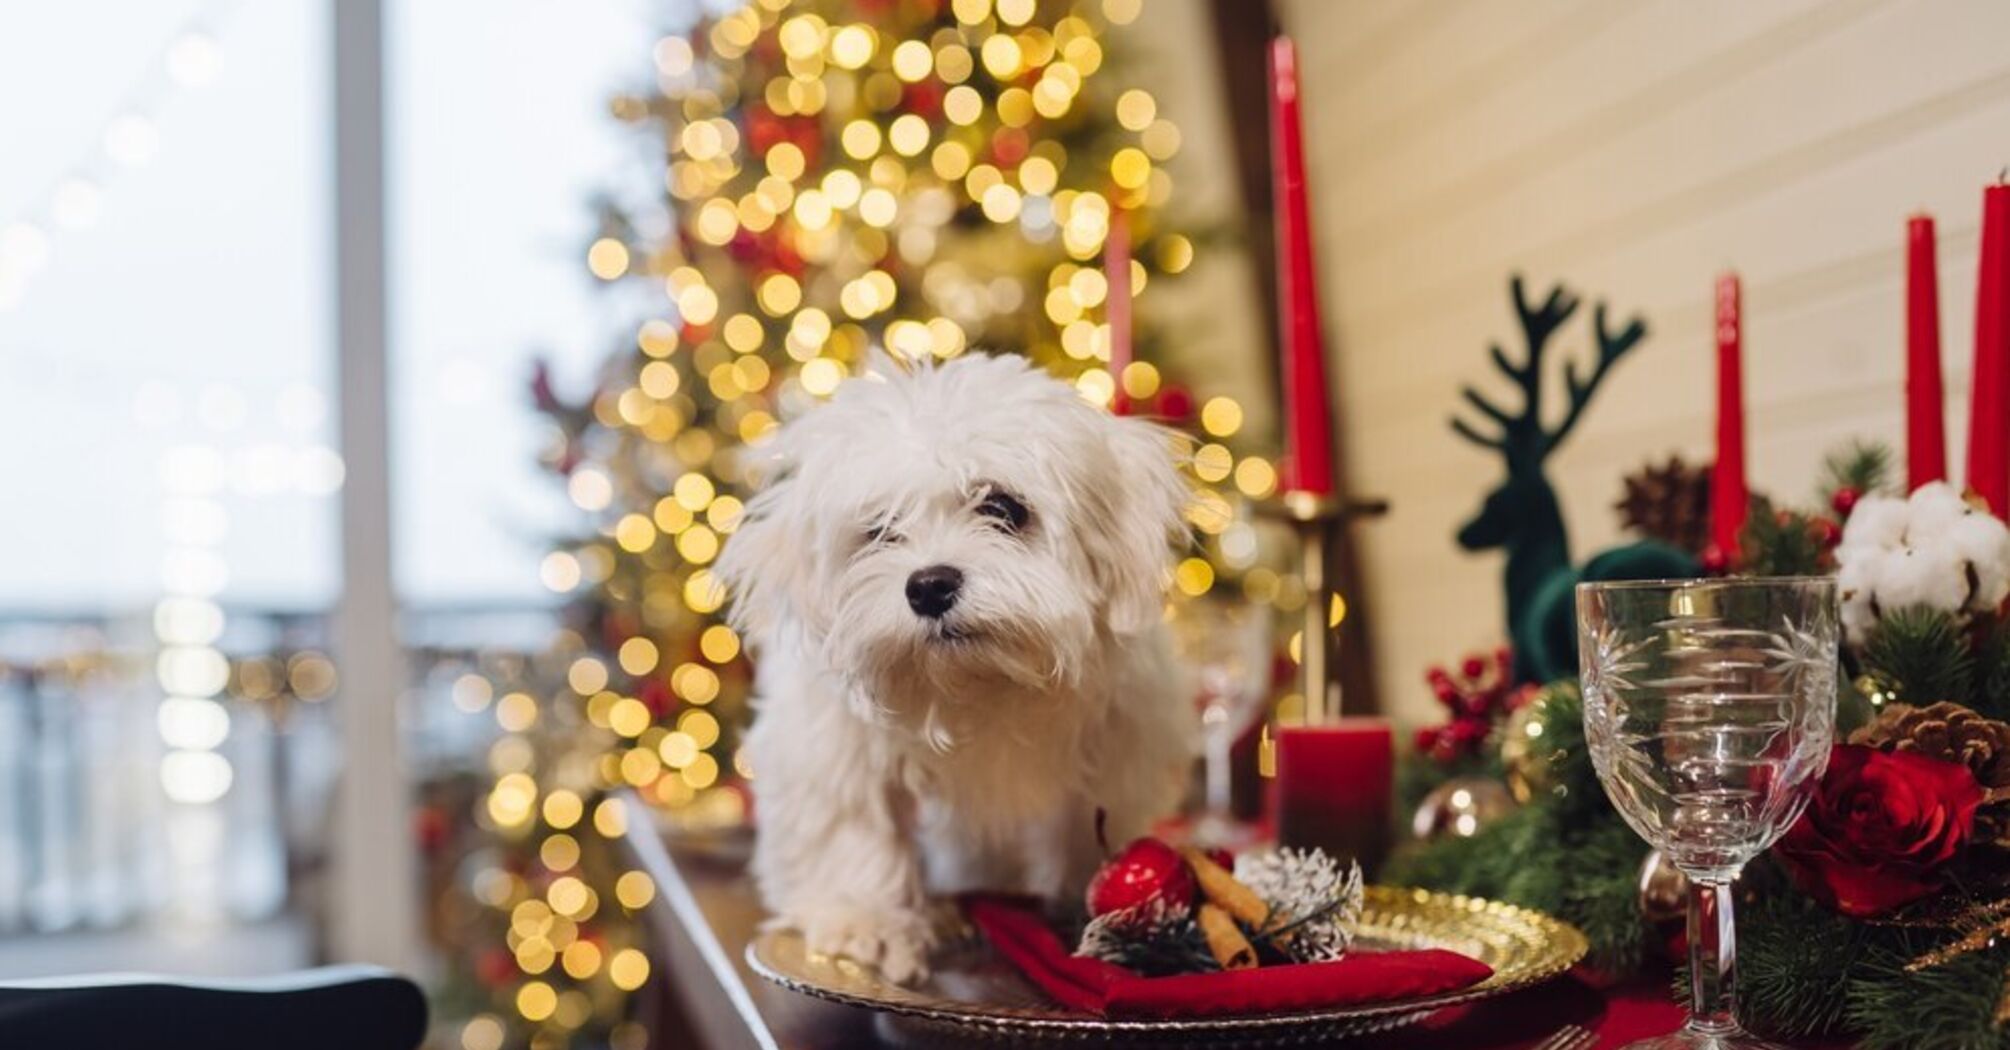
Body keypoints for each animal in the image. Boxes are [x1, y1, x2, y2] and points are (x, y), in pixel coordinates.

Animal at [723, 354, 1189, 981]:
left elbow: (1082, 826)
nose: (929, 585)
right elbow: (851, 826)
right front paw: (863, 921)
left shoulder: (1113, 743)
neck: (976, 682)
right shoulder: (831, 745)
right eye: (879, 529)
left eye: (1002, 507)